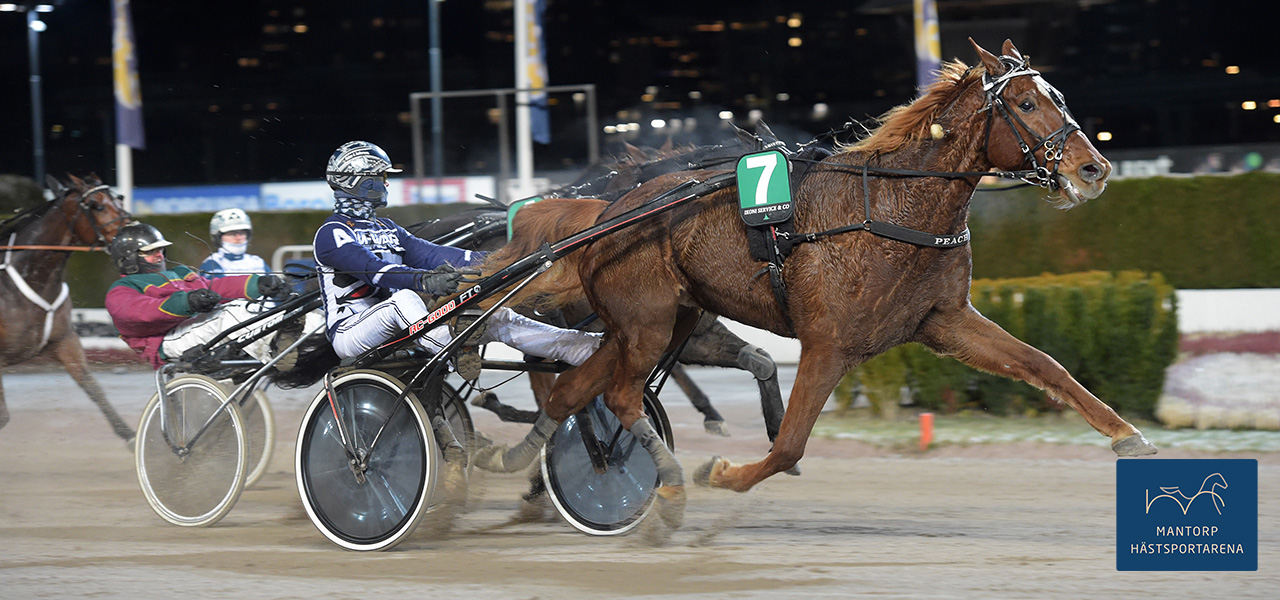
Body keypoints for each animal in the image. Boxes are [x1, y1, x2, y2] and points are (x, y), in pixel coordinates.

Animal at [0, 172, 135, 440]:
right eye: (95, 205)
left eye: (119, 198)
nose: (131, 235)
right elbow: (3, 417)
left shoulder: (64, 340)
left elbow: (93, 387)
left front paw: (130, 436)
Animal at [476, 39, 1157, 527]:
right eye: (1026, 104)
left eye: (1056, 96)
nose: (1094, 168)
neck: (891, 207)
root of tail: (606, 211)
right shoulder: (828, 344)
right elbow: (789, 447)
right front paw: (722, 473)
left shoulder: (944, 320)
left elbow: (1045, 366)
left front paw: (1130, 437)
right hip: (646, 325)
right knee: (617, 397)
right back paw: (662, 484)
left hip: (657, 323)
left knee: (573, 392)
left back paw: (513, 459)